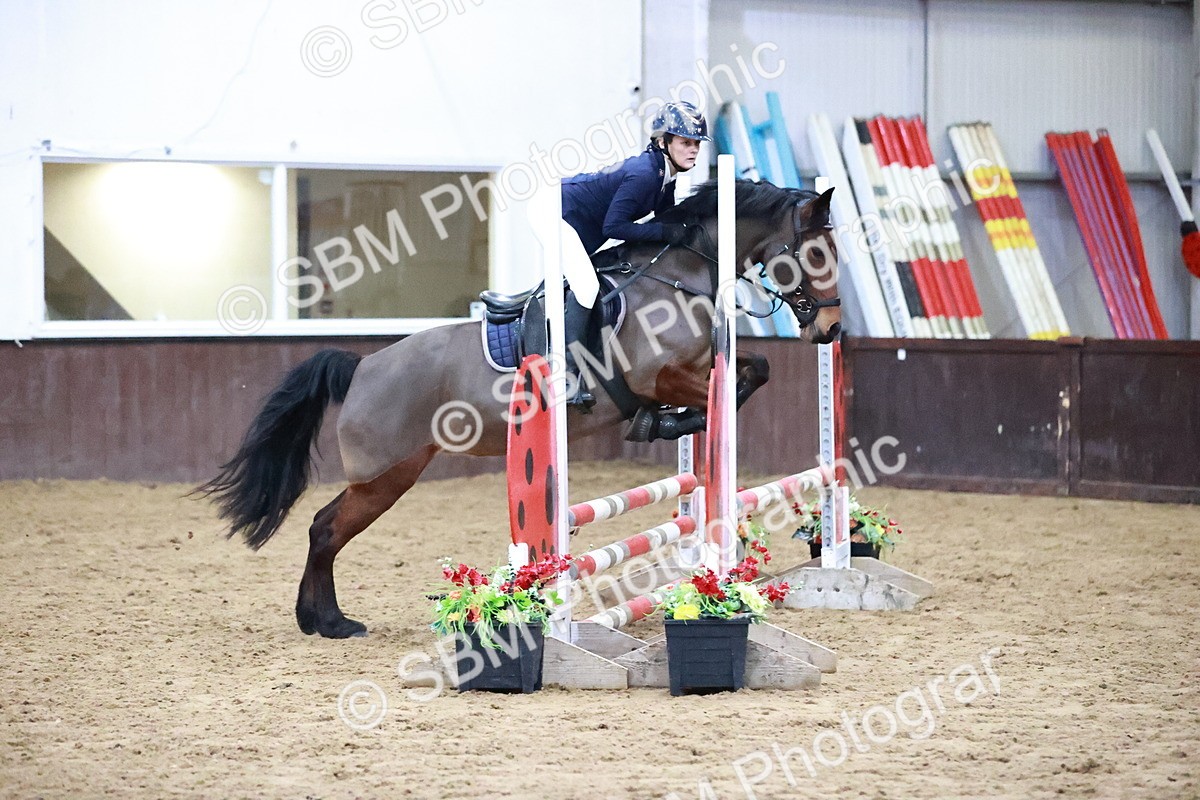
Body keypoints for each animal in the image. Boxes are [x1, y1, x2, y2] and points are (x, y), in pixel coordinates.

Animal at [197, 179, 842, 638]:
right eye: (816, 252)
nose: (831, 330)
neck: (679, 276)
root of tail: (361, 368)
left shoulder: (701, 363)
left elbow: (756, 369)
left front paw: (678, 424)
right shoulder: (657, 375)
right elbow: (728, 385)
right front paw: (673, 422)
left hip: (392, 473)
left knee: (321, 526)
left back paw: (318, 620)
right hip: (387, 474)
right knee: (327, 529)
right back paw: (330, 623)